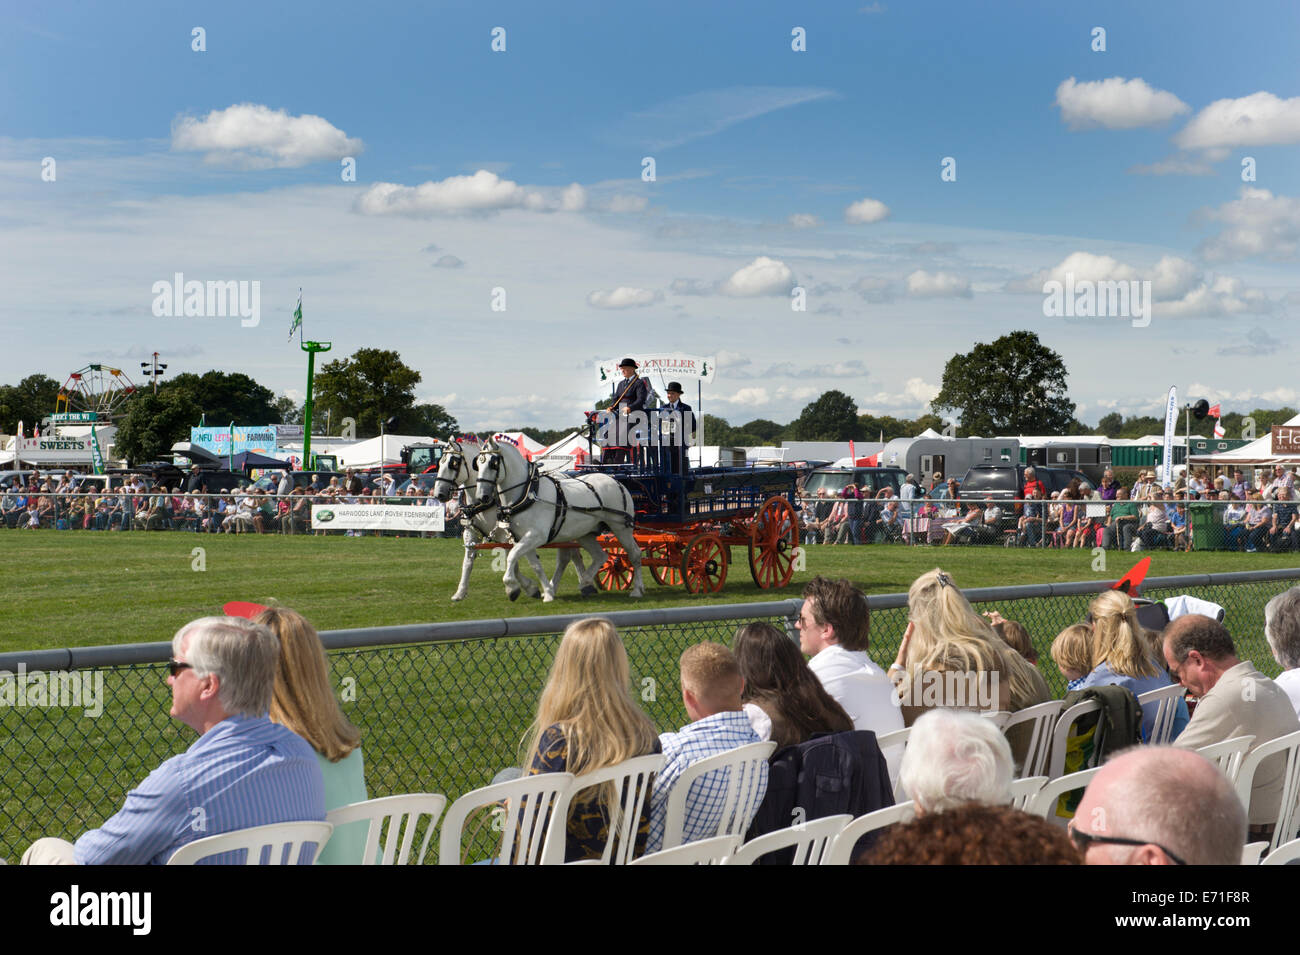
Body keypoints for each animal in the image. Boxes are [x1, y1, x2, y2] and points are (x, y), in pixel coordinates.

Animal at [431, 436, 585, 600]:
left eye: (453, 464)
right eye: (440, 463)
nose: (439, 494)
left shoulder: (505, 535)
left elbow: (513, 562)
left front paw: (523, 588)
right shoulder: (471, 532)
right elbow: (467, 562)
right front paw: (460, 592)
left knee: (570, 555)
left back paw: (583, 583)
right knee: (570, 555)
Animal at [475, 436, 642, 600]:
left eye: (493, 464)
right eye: (477, 463)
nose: (481, 497)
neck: (528, 493)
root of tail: (616, 480)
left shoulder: (536, 536)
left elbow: (512, 556)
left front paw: (511, 586)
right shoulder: (522, 538)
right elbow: (534, 565)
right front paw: (546, 592)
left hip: (621, 528)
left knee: (634, 554)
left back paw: (637, 590)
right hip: (585, 534)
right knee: (600, 556)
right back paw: (585, 581)